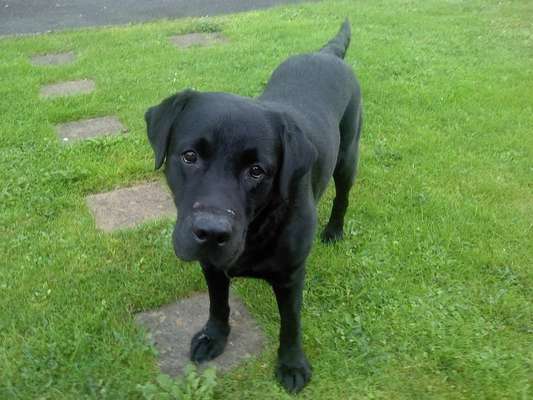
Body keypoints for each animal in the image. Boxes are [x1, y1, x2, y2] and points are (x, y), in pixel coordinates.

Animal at [144, 20, 362, 392]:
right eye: (190, 155)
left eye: (257, 171)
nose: (211, 232)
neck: (257, 228)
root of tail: (326, 53)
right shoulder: (211, 265)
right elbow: (218, 304)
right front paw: (214, 337)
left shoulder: (291, 275)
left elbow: (291, 324)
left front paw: (292, 364)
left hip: (347, 157)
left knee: (342, 196)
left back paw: (334, 231)